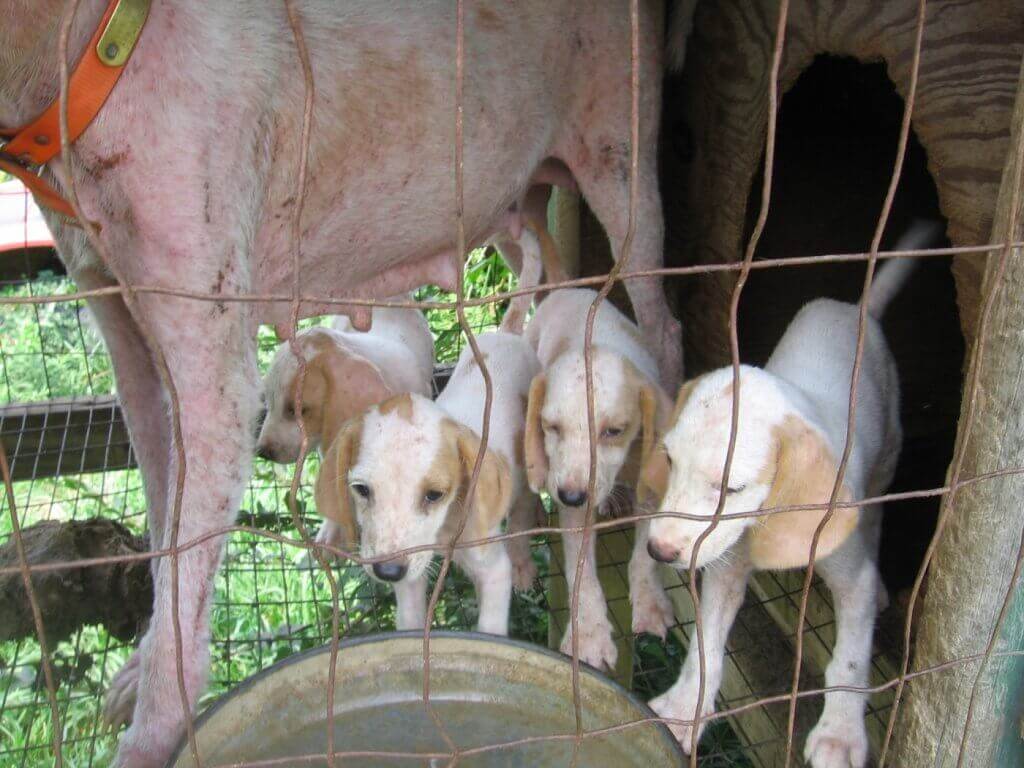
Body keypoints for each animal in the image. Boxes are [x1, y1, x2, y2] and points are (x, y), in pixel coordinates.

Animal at [317, 325, 544, 638]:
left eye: (435, 495)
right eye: (361, 489)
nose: (388, 572)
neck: (444, 529)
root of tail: (507, 332)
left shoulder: (494, 568)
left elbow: (490, 627)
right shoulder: (410, 571)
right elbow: (410, 618)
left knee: (524, 507)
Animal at [524, 288, 675, 671]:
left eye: (614, 432)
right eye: (551, 427)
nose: (571, 497)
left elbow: (645, 554)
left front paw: (650, 604)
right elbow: (582, 572)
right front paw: (590, 635)